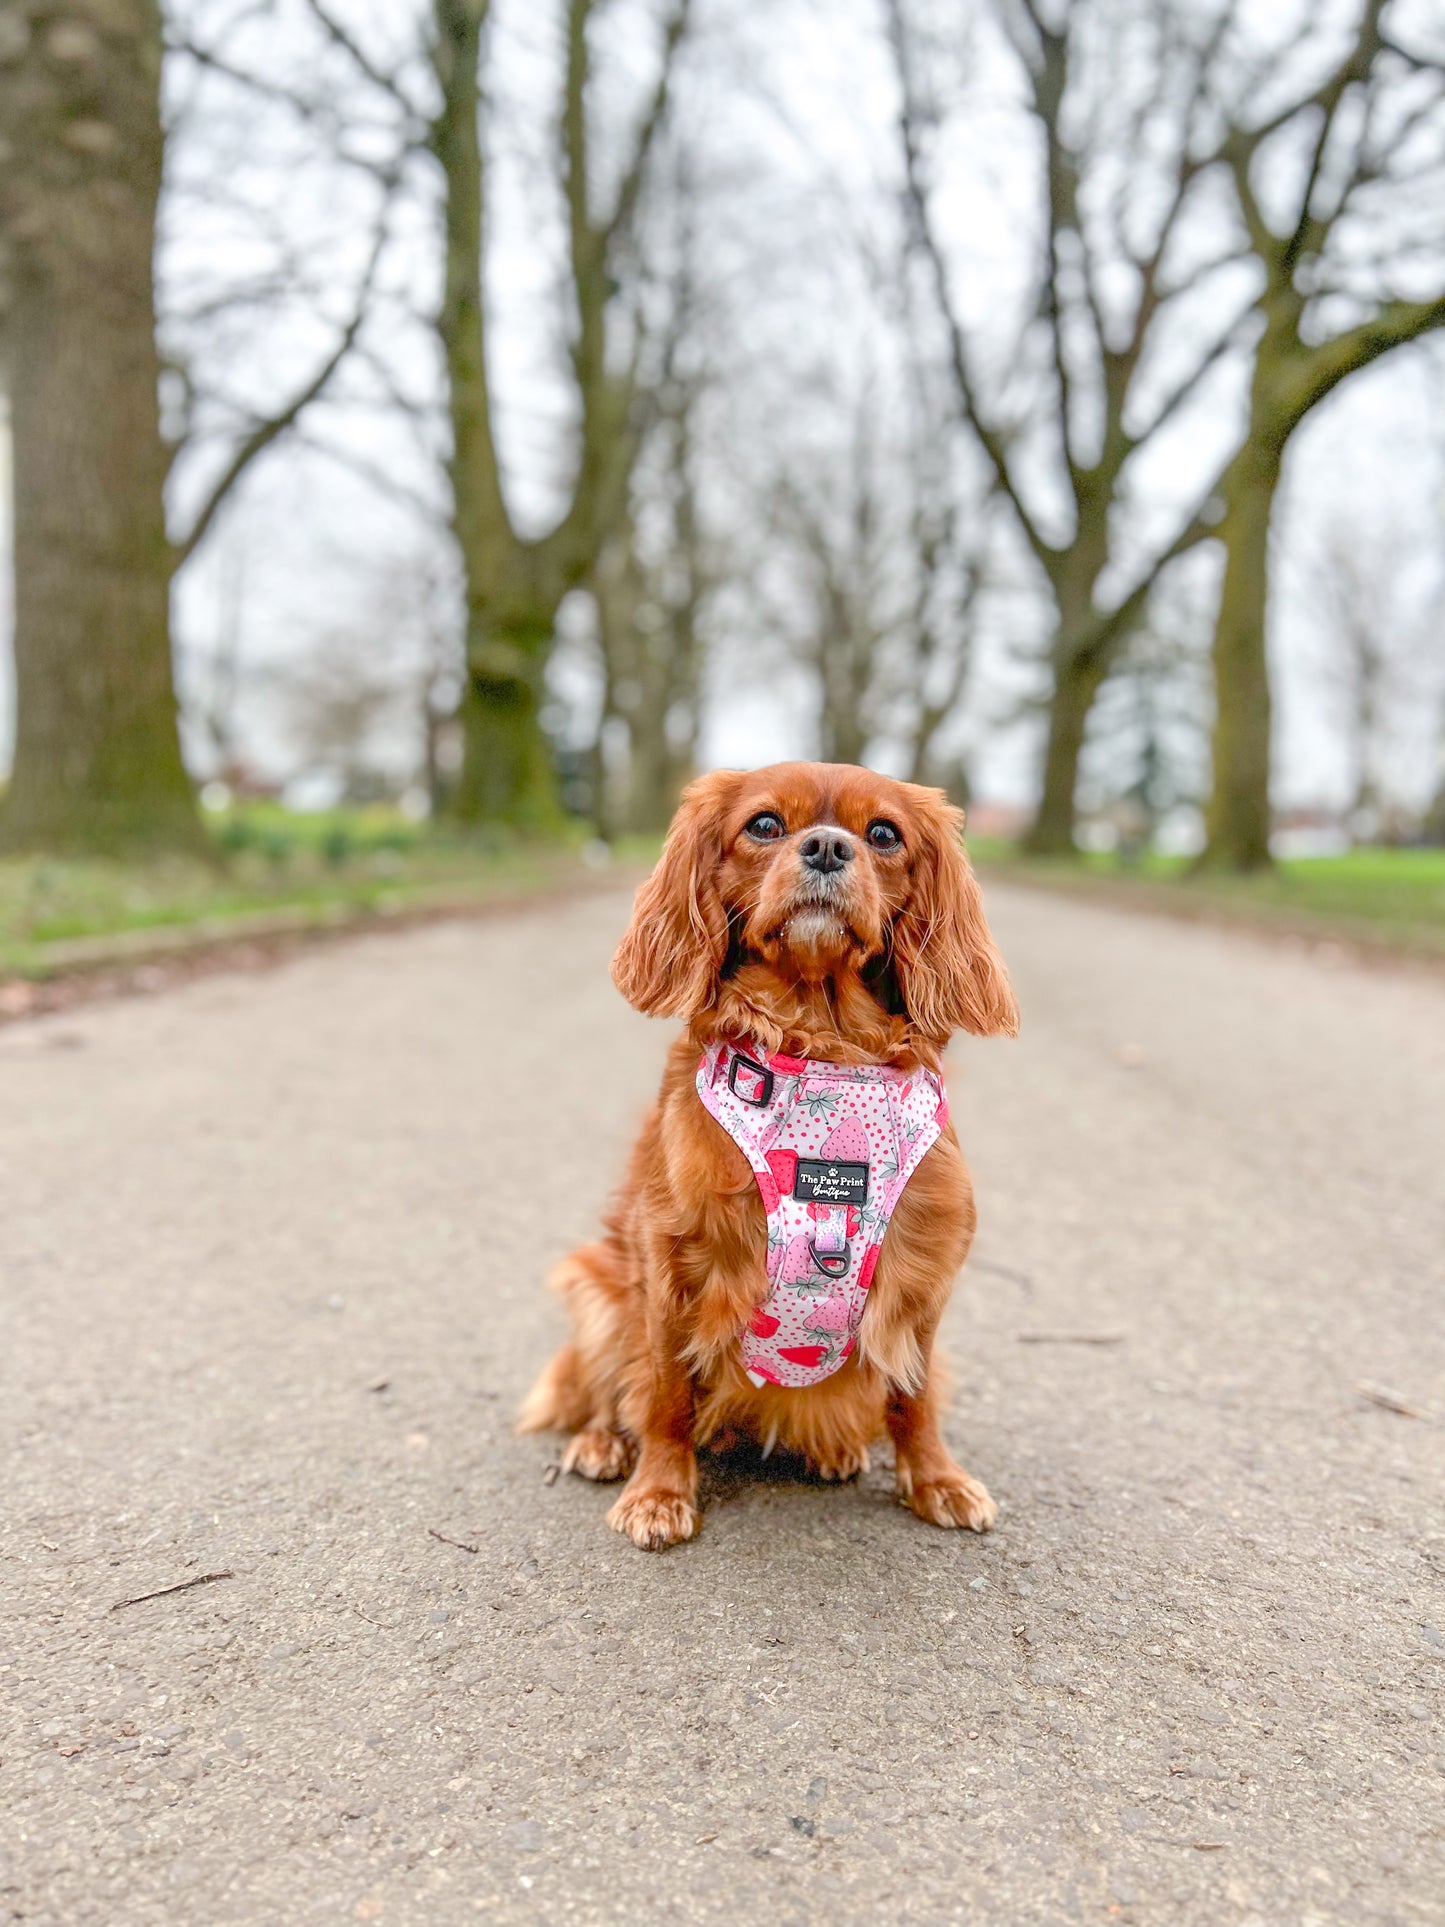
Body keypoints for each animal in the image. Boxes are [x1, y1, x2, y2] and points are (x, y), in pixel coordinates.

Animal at [520, 759, 1017, 1541]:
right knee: (609, 1388)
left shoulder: (922, 1269)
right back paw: (601, 1442)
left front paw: (936, 1479)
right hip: (594, 1283)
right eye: (763, 824)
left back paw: (835, 1449)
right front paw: (658, 1492)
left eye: (883, 834)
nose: (827, 847)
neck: (822, 1043)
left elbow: (913, 1394)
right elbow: (663, 1391)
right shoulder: (671, 1261)